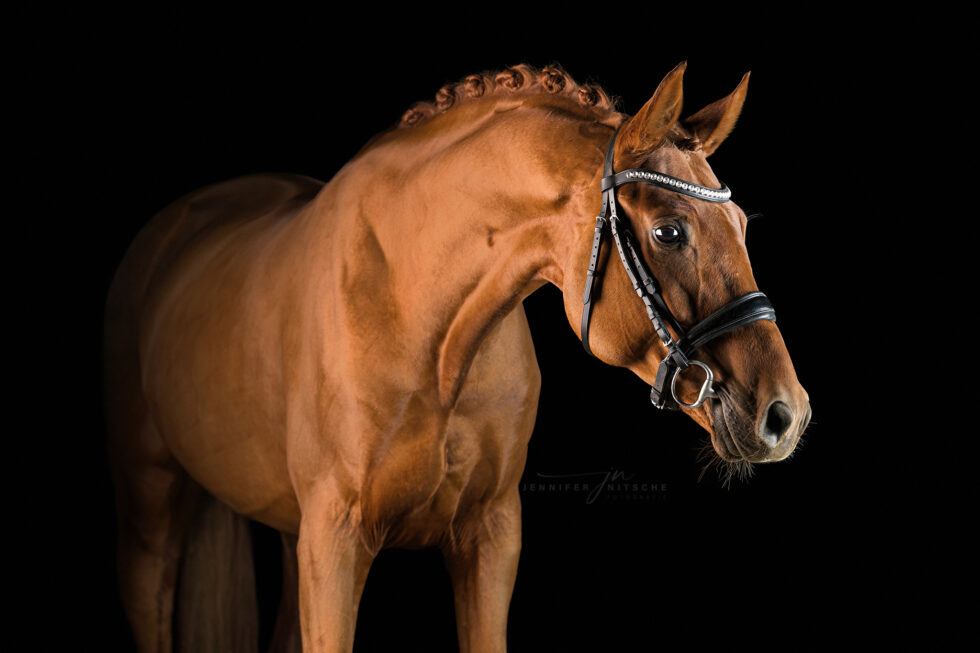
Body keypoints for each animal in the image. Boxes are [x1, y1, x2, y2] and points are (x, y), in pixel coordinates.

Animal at [103, 62, 810, 652]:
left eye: (743, 226)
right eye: (669, 231)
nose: (786, 415)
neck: (429, 332)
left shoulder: (489, 534)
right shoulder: (334, 542)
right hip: (153, 512)